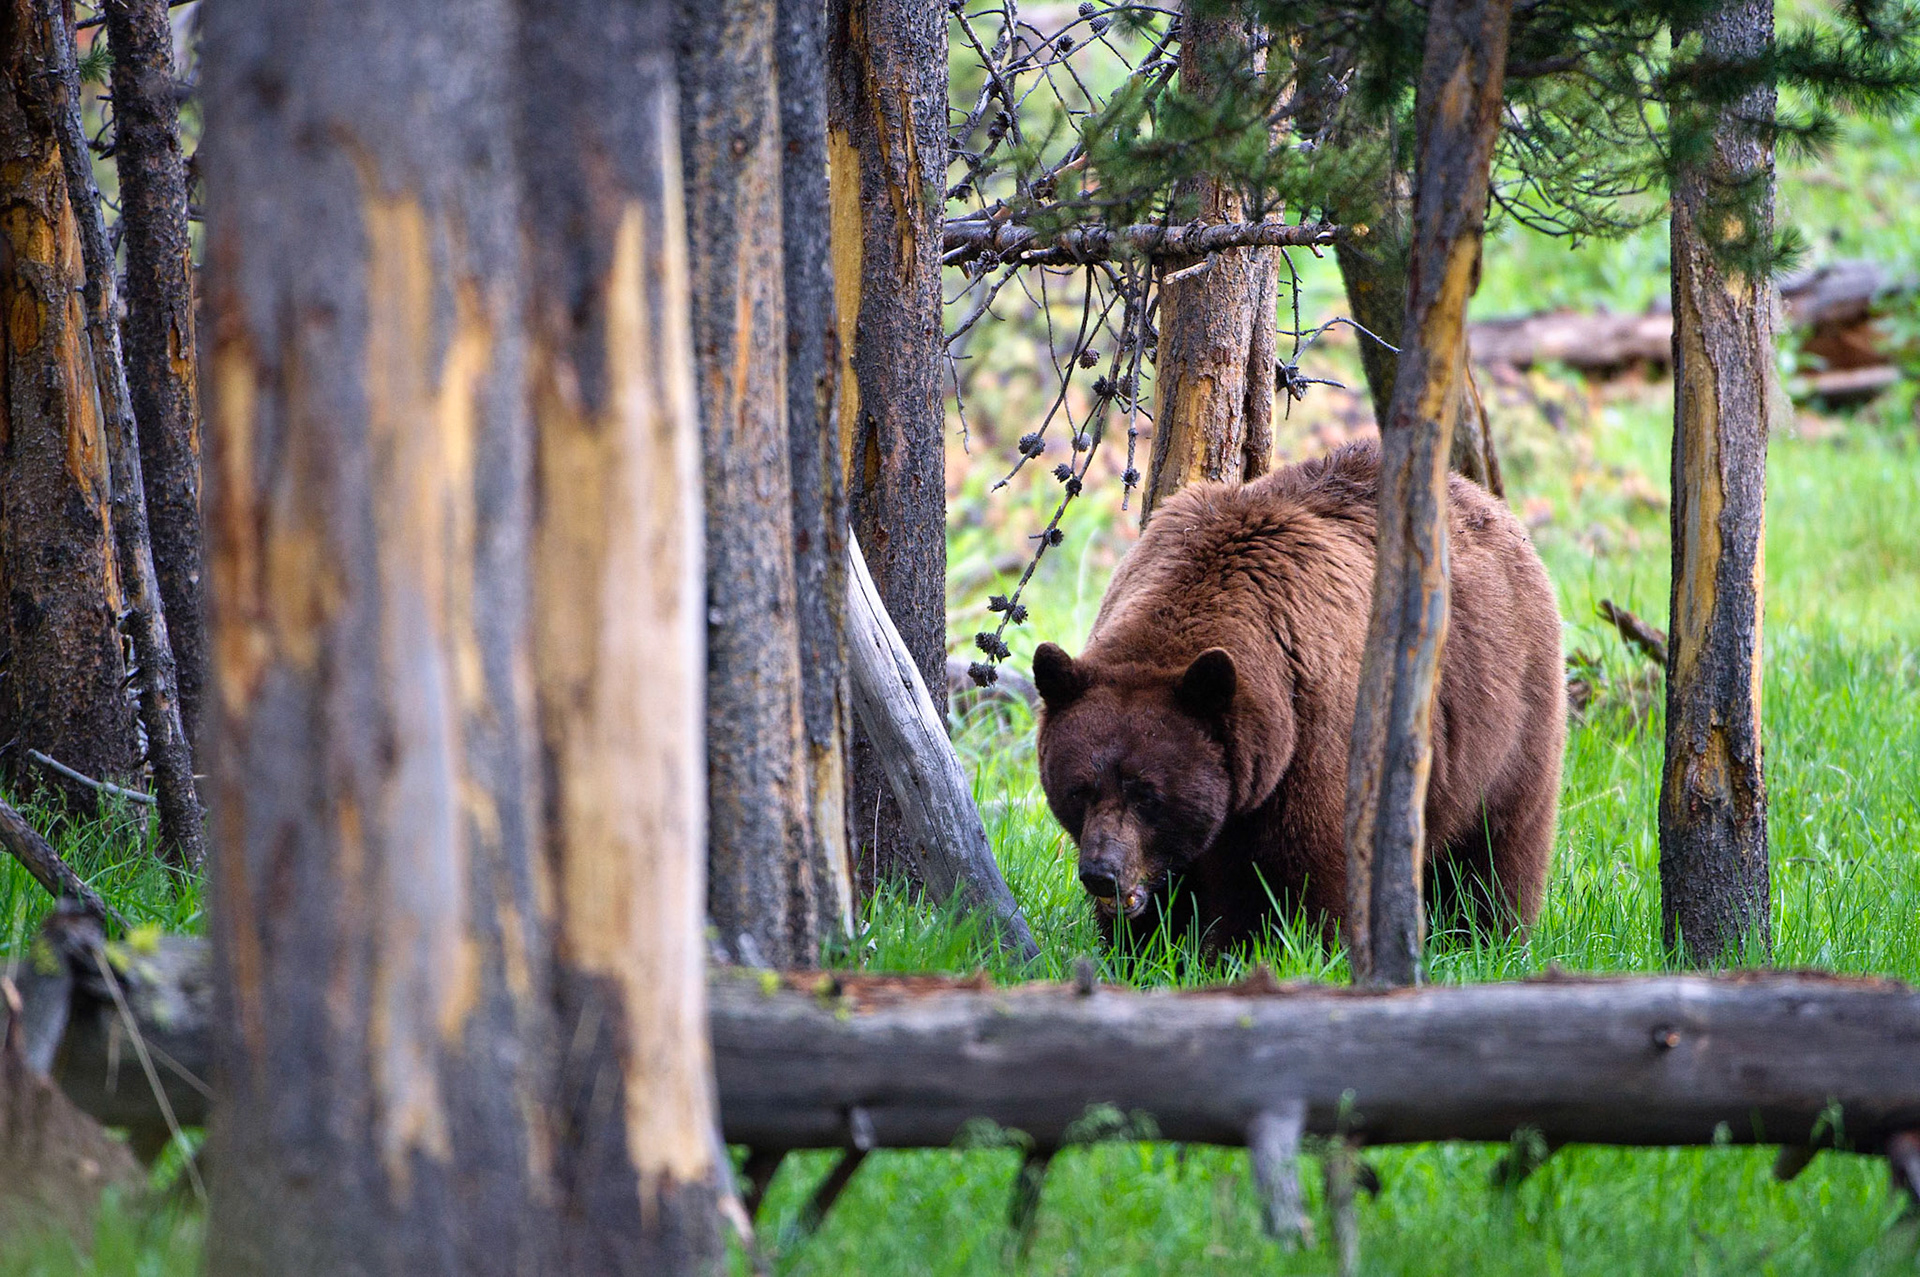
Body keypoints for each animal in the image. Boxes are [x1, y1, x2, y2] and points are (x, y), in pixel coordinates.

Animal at [1032, 440, 1565, 952]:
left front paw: (1282, 949)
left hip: (1506, 717)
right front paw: (1142, 949)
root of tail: (1487, 500)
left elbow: (1303, 880)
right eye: (1079, 788)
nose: (1101, 874)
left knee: (1494, 849)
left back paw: (1485, 934)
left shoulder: (1313, 740)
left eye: (1147, 793)